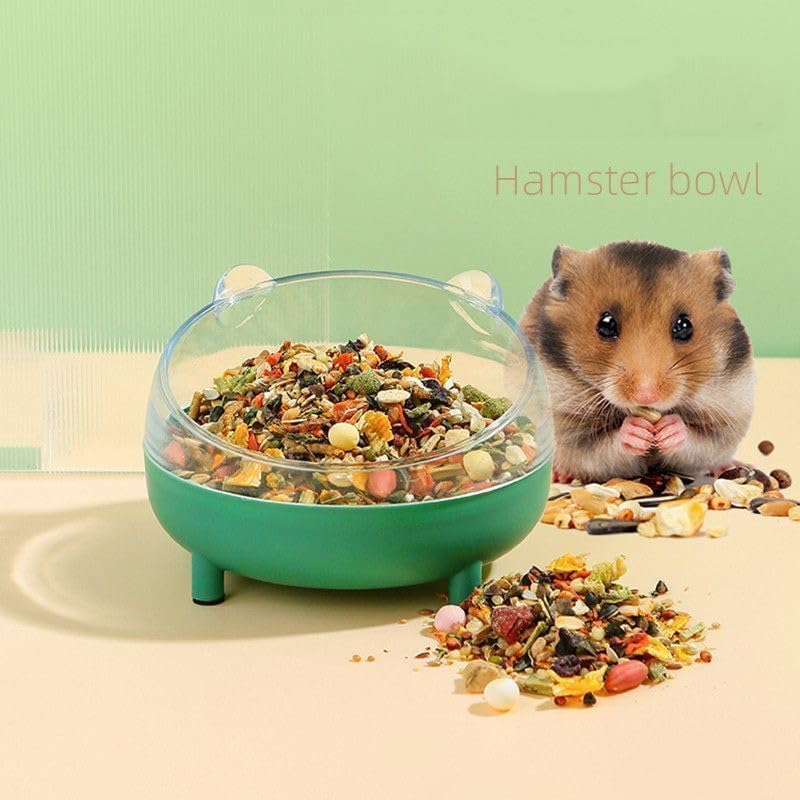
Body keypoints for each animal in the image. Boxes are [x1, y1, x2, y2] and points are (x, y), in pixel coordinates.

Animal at [521, 241, 755, 483]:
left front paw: (669, 429)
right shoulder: (571, 429)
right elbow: (604, 445)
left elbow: (699, 440)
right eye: (606, 325)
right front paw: (637, 430)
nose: (646, 395)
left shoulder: (727, 415)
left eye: (684, 326)